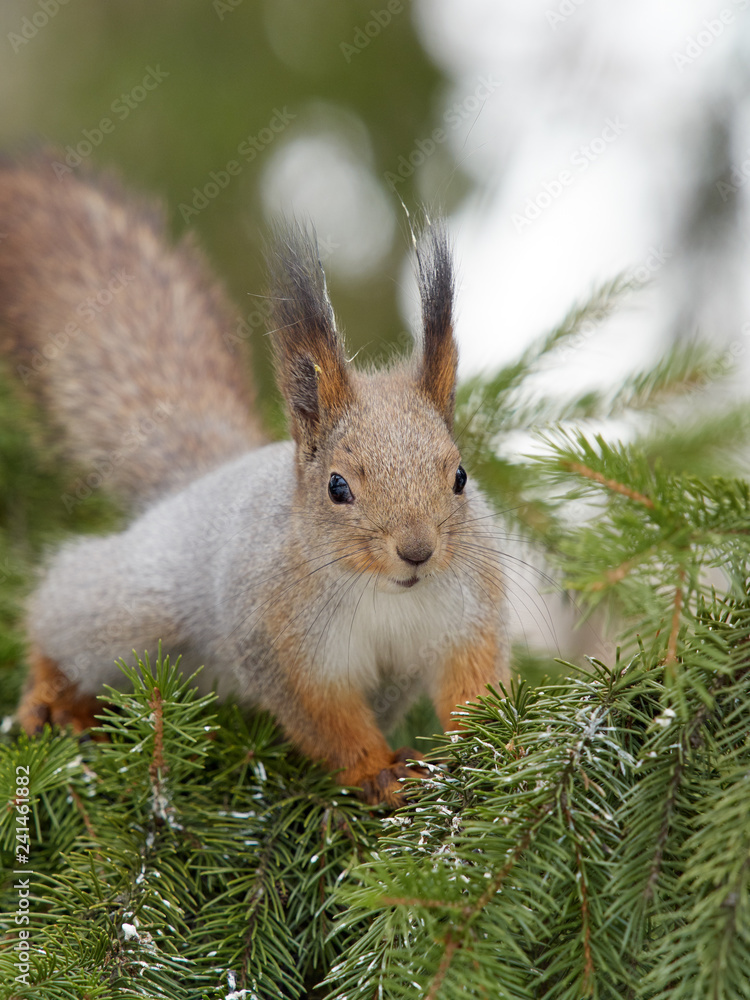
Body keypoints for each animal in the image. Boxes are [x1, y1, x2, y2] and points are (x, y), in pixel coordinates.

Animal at [0, 152, 509, 804]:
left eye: (461, 477)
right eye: (337, 487)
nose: (417, 552)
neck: (384, 593)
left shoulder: (470, 611)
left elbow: (473, 682)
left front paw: (493, 748)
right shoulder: (278, 648)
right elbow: (327, 722)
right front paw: (376, 770)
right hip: (134, 606)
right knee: (62, 610)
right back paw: (52, 698)